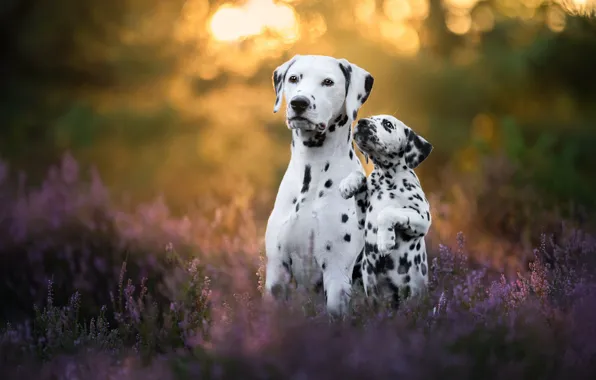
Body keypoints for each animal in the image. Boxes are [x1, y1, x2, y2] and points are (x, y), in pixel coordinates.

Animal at [264, 54, 374, 318]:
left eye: (328, 82)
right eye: (294, 78)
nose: (299, 102)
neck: (311, 173)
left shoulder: (336, 273)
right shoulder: (276, 273)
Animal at [340, 114, 434, 310]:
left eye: (388, 124)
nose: (361, 122)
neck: (387, 177)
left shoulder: (423, 219)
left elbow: (388, 212)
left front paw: (385, 240)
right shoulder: (362, 219)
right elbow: (360, 176)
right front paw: (348, 184)